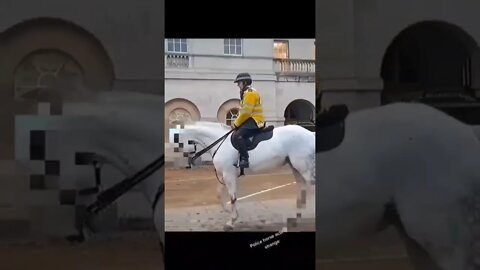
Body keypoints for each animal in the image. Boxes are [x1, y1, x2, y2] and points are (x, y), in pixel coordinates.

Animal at [178, 121, 316, 231]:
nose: (188, 163)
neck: (219, 142)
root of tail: (310, 134)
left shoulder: (229, 175)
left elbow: (232, 198)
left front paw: (231, 221)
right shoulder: (224, 175)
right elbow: (219, 194)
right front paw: (228, 212)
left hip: (303, 168)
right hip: (296, 168)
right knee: (302, 189)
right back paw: (295, 218)